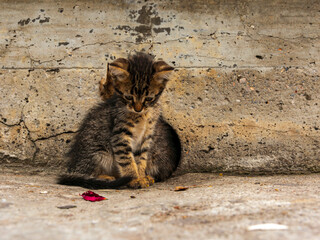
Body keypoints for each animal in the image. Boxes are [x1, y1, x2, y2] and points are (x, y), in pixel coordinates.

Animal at [57, 52, 181, 189]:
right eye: (128, 97)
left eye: (149, 98)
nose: (138, 109)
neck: (142, 116)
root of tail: (73, 166)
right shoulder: (120, 135)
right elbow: (126, 160)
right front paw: (134, 179)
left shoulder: (146, 136)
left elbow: (141, 159)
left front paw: (141, 177)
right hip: (99, 152)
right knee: (88, 172)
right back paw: (105, 177)